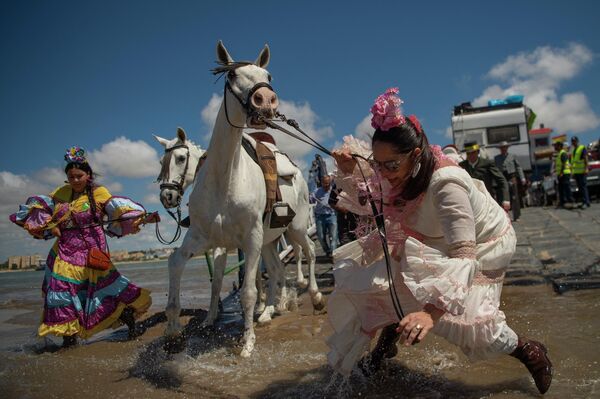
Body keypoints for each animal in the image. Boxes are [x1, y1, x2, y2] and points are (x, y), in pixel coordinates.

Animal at [161, 42, 324, 358]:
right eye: (232, 75)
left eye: (268, 75)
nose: (266, 100)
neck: (225, 179)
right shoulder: (204, 238)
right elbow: (178, 264)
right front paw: (175, 330)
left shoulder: (250, 239)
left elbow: (249, 291)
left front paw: (247, 342)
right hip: (271, 240)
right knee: (276, 268)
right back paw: (269, 311)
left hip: (295, 228)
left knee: (309, 252)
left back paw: (314, 295)